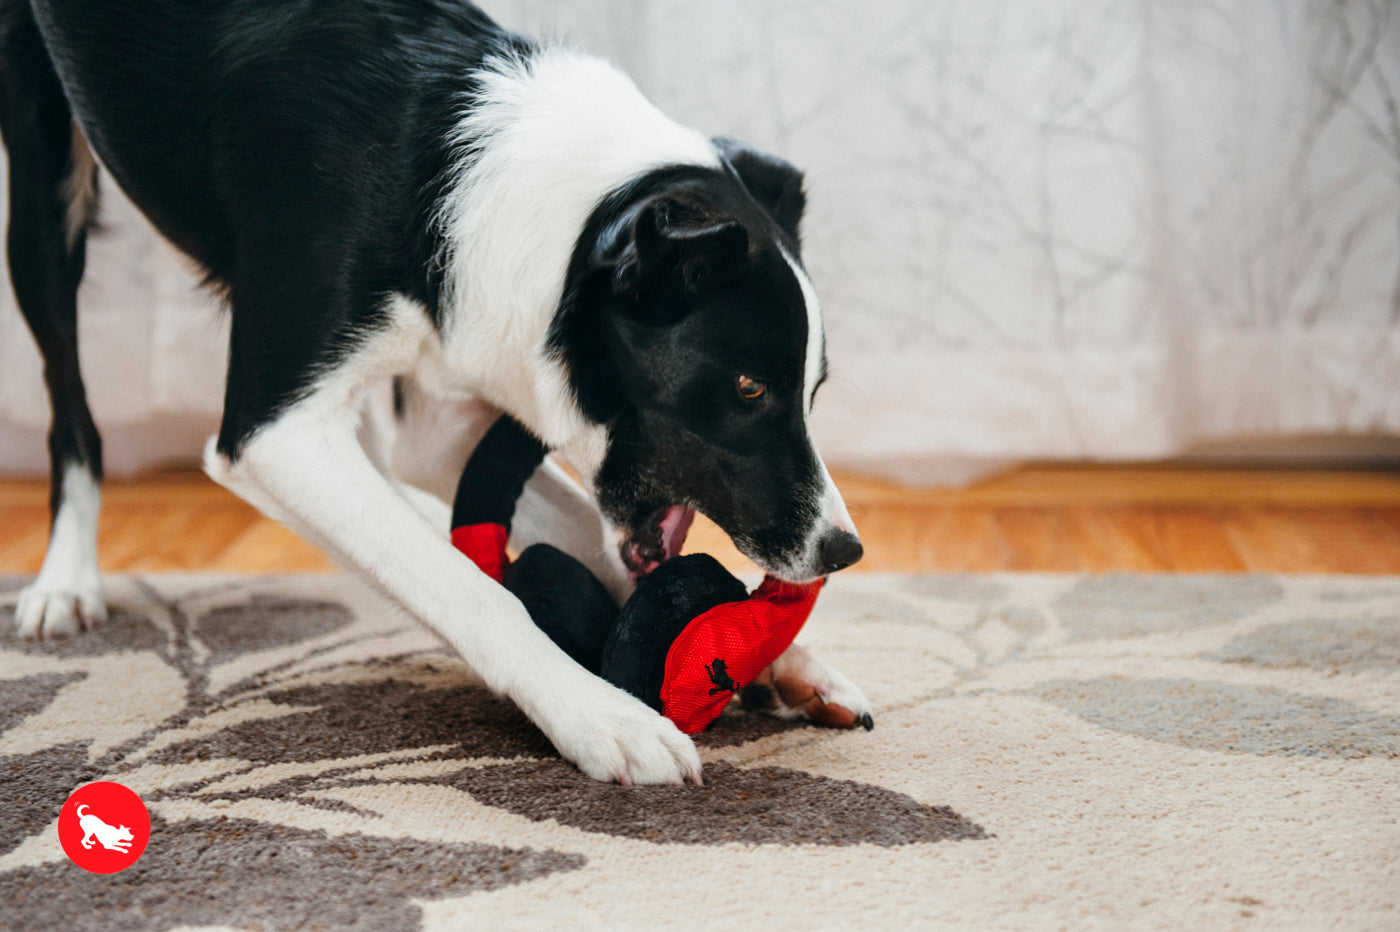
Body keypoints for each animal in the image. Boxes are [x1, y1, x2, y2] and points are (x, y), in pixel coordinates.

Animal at [5, 0, 868, 778]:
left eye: (811, 389)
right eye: (749, 388)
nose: (844, 550)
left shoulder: (444, 413)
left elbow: (587, 533)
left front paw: (778, 659)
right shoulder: (272, 436)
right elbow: (470, 588)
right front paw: (601, 716)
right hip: (44, 193)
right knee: (69, 407)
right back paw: (66, 581)